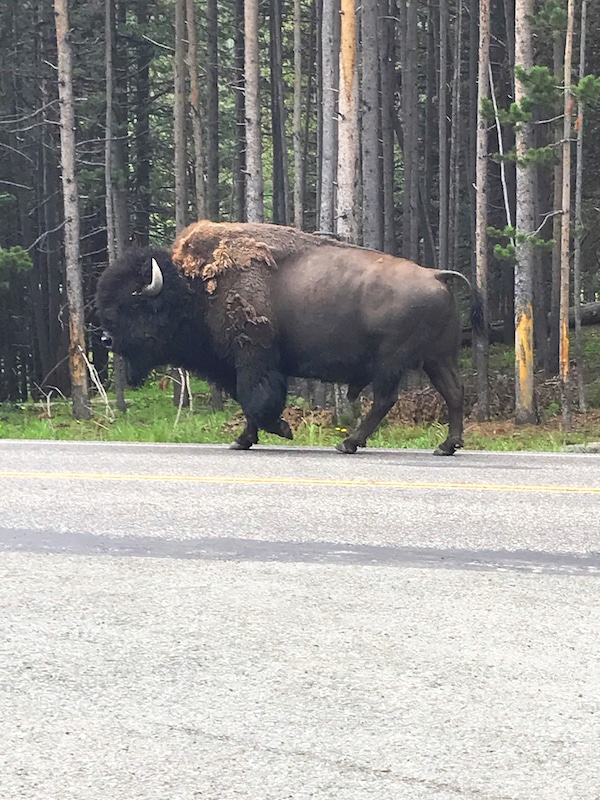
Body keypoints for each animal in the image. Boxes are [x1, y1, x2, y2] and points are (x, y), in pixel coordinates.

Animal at [97, 222, 482, 454]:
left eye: (134, 304)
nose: (106, 340)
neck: (196, 289)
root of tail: (436, 275)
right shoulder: (240, 365)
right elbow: (248, 402)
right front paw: (243, 440)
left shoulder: (253, 359)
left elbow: (257, 400)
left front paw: (279, 430)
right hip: (438, 359)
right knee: (454, 393)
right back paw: (447, 445)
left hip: (392, 363)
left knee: (385, 399)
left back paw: (349, 444)